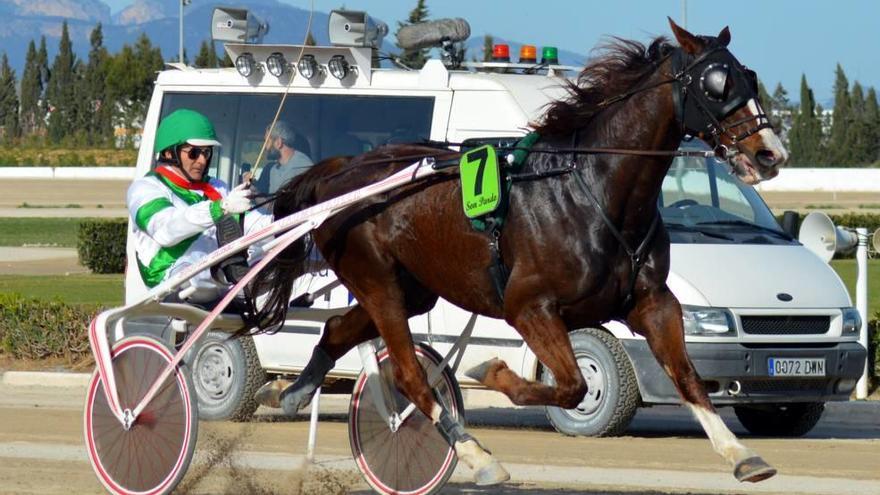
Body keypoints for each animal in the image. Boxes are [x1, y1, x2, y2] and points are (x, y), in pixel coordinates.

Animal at [251, 19, 788, 488]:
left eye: (749, 76)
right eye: (716, 83)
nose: (770, 154)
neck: (591, 188)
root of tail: (340, 172)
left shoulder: (653, 302)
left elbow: (687, 376)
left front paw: (742, 455)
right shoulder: (529, 307)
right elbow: (573, 385)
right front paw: (491, 372)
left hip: (412, 289)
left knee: (336, 329)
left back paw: (289, 390)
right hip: (377, 280)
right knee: (408, 374)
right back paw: (476, 455)